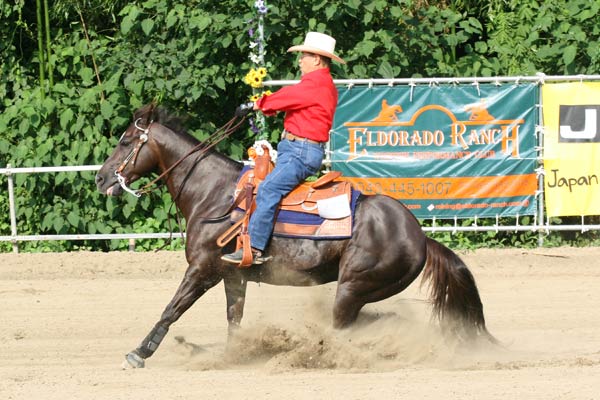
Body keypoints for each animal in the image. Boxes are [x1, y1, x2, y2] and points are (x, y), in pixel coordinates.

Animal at [95, 104, 495, 368]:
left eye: (126, 140)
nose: (100, 178)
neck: (215, 194)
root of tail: (419, 236)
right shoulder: (232, 275)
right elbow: (233, 317)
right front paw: (235, 354)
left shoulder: (203, 269)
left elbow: (171, 309)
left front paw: (139, 354)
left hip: (353, 287)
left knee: (345, 328)